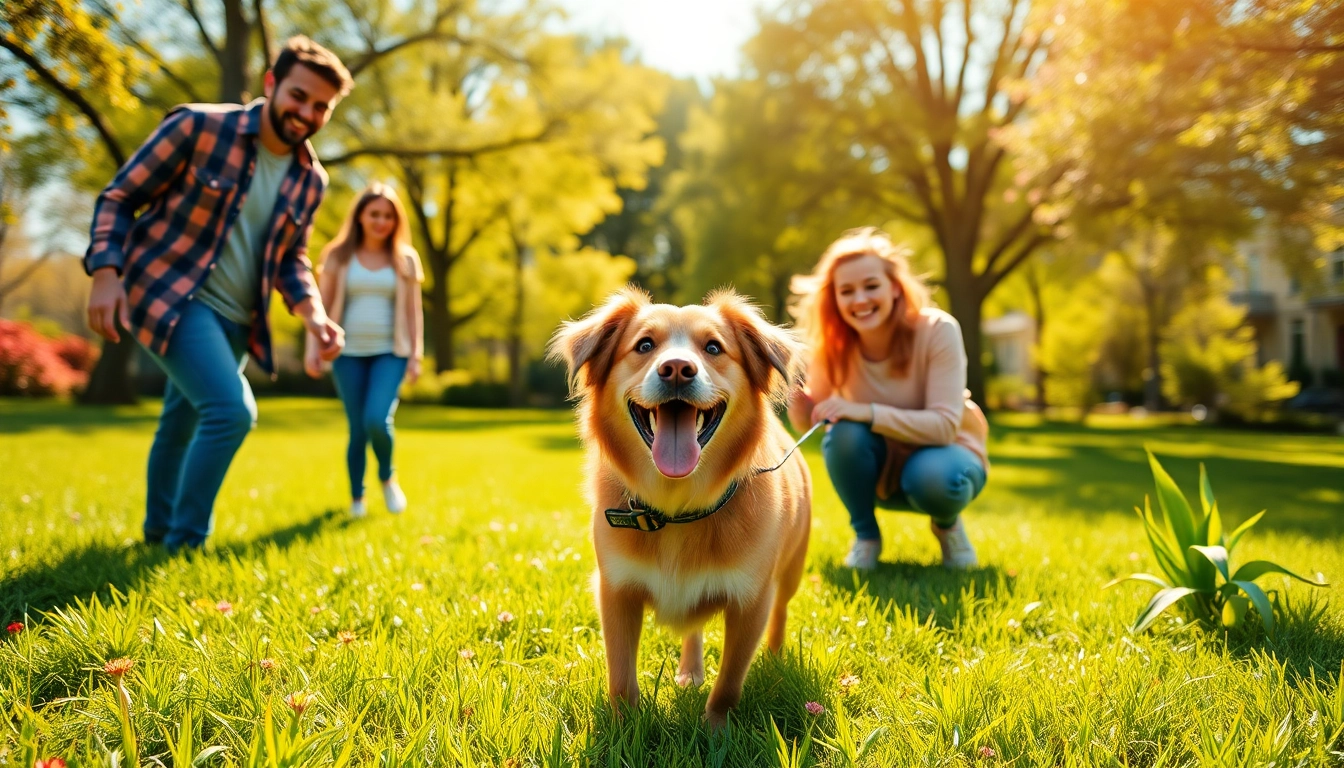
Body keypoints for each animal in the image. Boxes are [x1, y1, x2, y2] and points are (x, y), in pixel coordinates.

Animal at [545, 285, 806, 731]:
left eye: (714, 347)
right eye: (644, 345)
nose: (678, 369)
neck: (677, 507)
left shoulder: (751, 601)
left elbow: (730, 681)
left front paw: (716, 730)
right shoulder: (616, 591)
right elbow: (620, 676)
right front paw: (624, 728)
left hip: (790, 574)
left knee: (781, 615)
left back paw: (773, 661)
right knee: (693, 629)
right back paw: (690, 671)